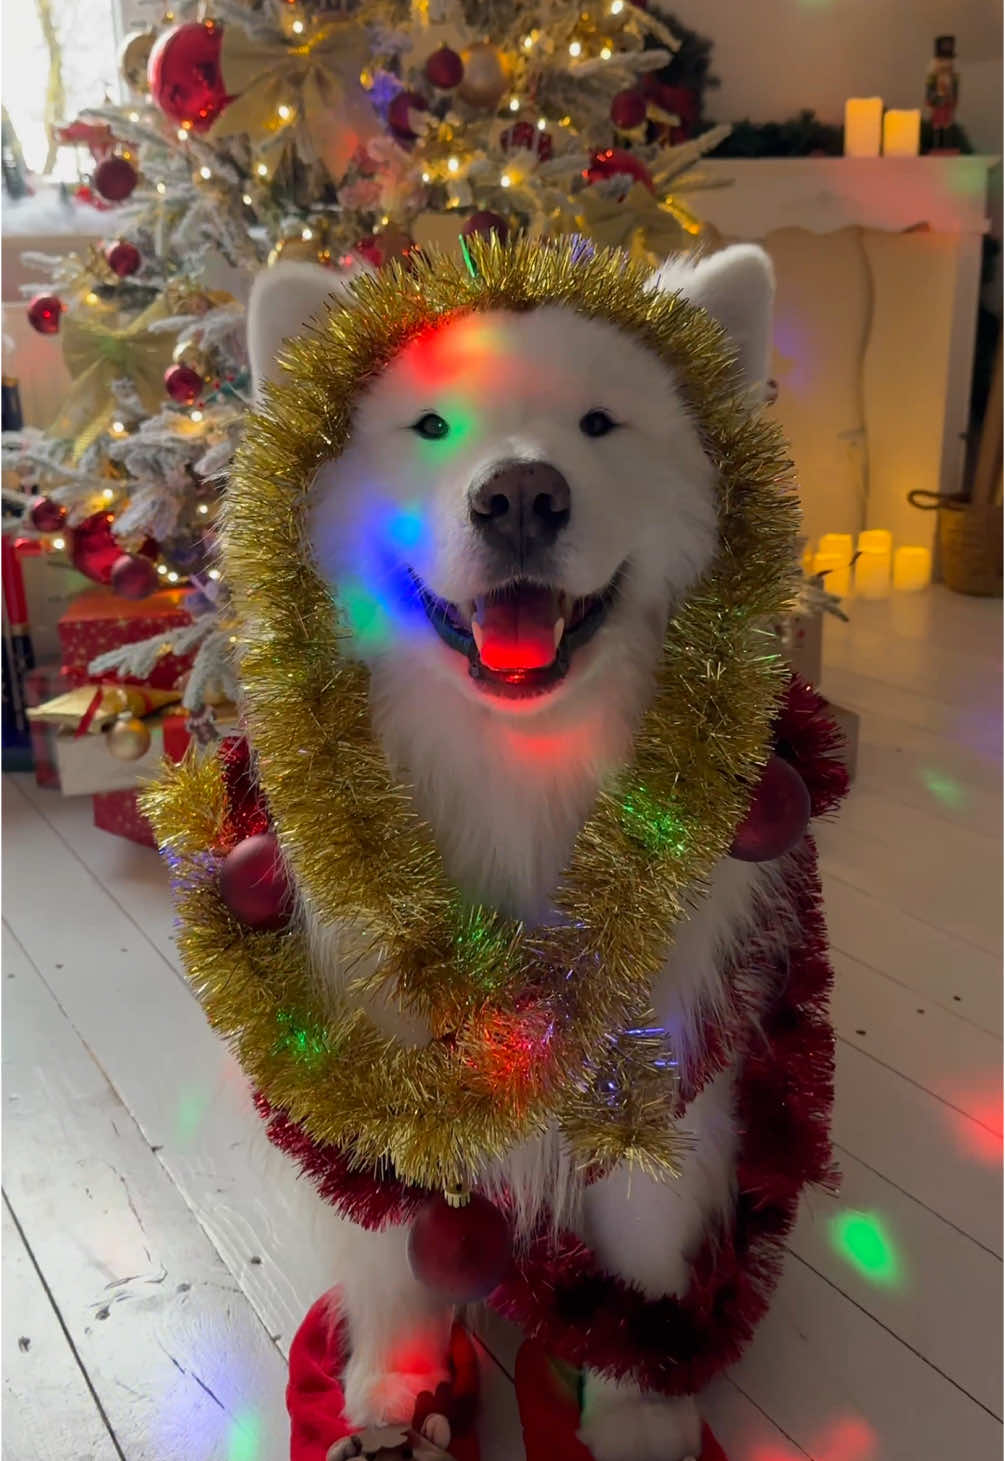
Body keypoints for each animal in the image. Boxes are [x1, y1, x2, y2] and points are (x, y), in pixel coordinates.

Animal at [141, 233, 847, 1420]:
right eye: (430, 428)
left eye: (601, 424)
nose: (520, 495)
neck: (516, 775)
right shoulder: (378, 1068)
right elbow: (397, 1252)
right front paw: (392, 1389)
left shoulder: (657, 1074)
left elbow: (644, 1258)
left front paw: (641, 1408)